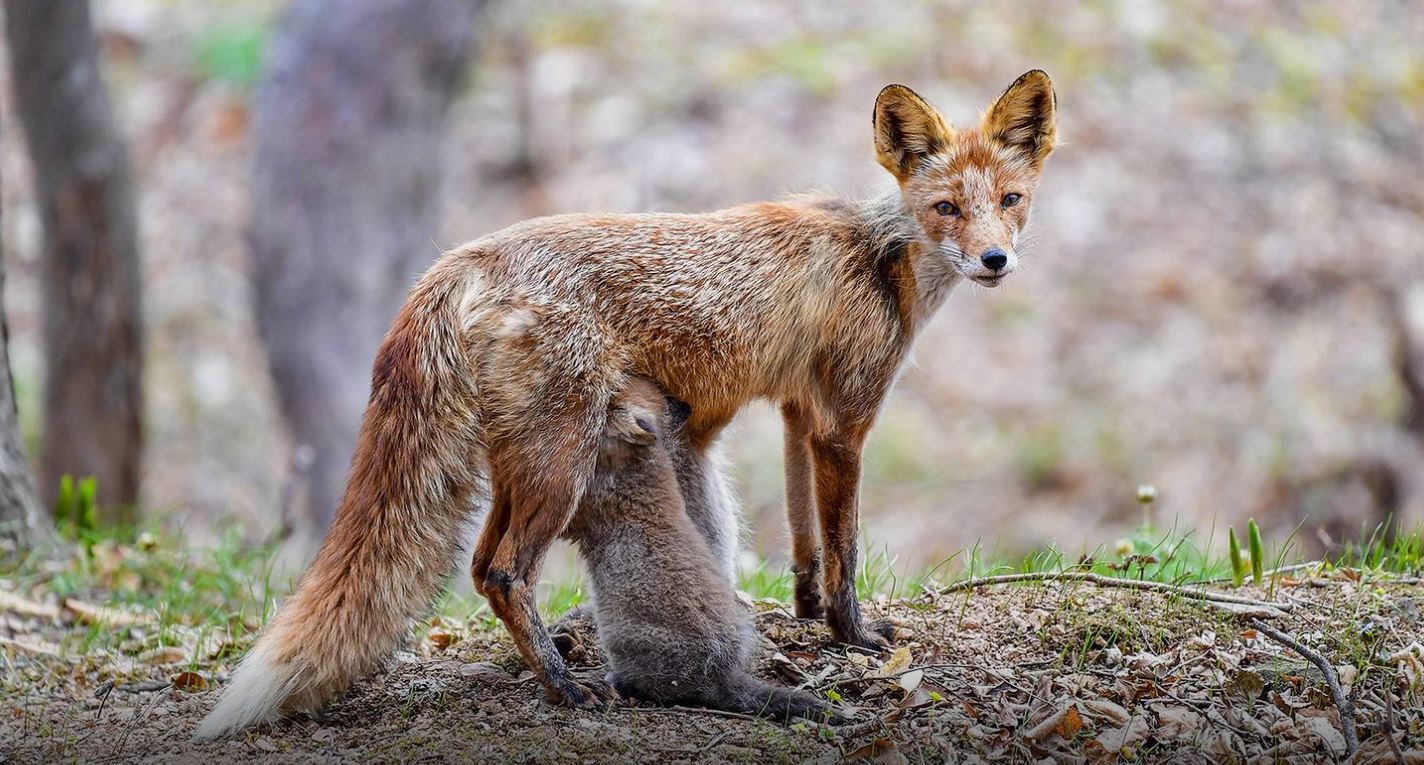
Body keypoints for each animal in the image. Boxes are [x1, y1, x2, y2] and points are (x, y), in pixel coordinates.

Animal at [195, 71, 1053, 735]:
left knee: (478, 565)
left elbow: (807, 541)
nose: (995, 260)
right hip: (562, 462)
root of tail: (461, 258)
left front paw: (807, 616)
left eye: (1011, 200)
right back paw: (566, 686)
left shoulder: (798, 413)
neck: (876, 257)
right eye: (947, 208)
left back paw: (559, 660)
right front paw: (855, 635)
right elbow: (842, 550)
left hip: (525, 462)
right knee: (500, 570)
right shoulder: (846, 421)